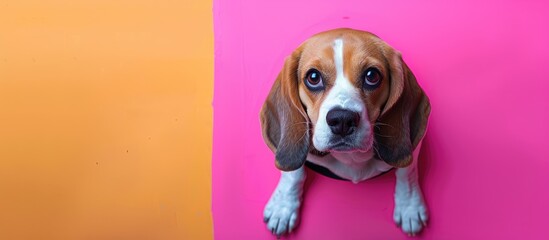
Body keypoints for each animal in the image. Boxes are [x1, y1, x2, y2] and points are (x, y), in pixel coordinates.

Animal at [260, 28, 430, 236]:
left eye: (372, 75)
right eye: (313, 77)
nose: (342, 120)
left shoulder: (414, 144)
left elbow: (407, 171)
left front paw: (410, 207)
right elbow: (294, 172)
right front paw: (283, 207)